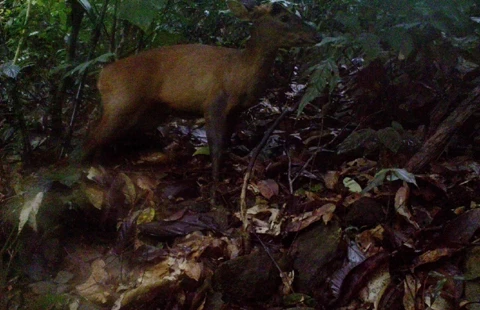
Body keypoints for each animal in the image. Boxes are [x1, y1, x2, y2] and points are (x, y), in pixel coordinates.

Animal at [82, 0, 320, 194]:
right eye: (284, 17)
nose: (316, 35)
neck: (239, 75)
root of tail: (102, 76)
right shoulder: (213, 102)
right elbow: (215, 146)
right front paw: (215, 187)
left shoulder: (235, 110)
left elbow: (226, 142)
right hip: (121, 102)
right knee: (91, 137)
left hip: (149, 113)